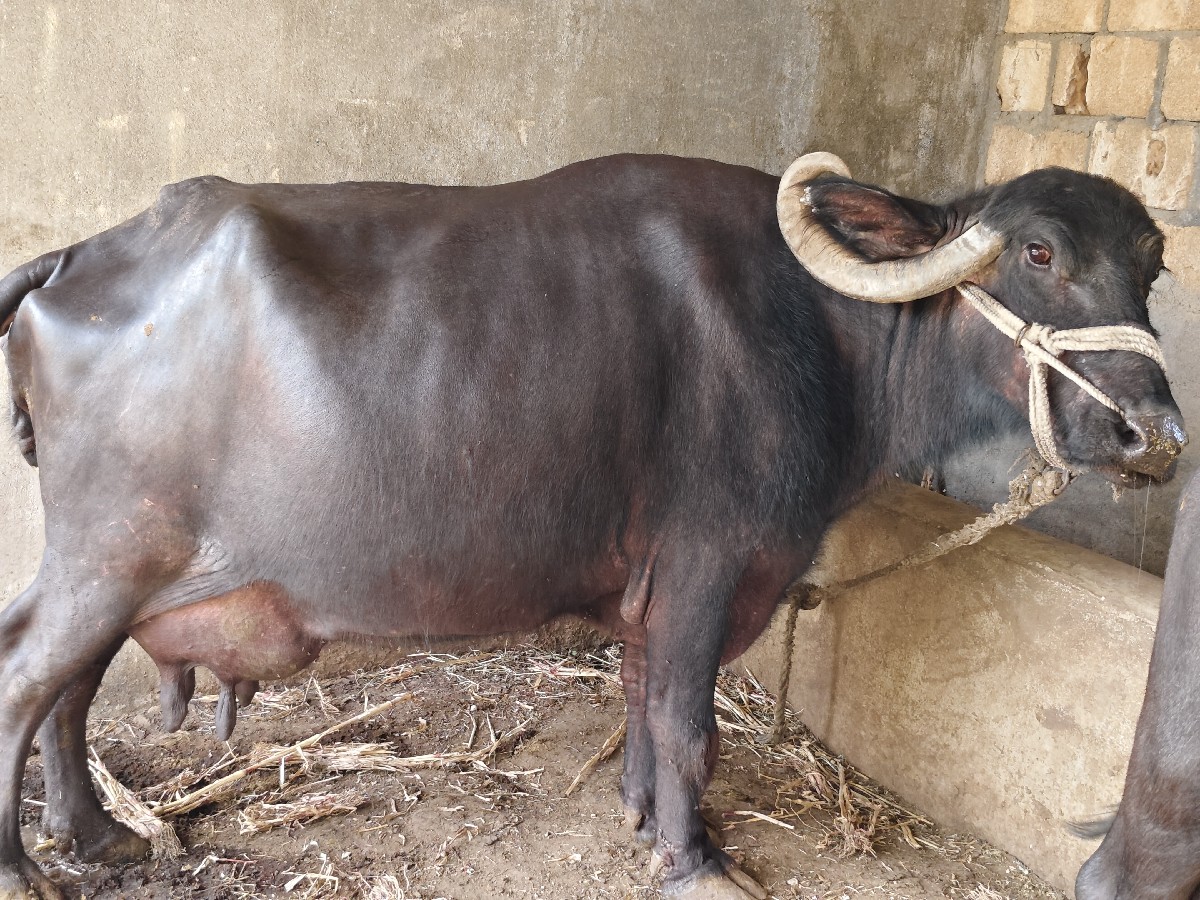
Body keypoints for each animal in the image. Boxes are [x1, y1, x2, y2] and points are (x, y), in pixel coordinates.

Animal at [0, 152, 1187, 899]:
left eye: (1153, 263)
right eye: (1039, 254)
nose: (1155, 434)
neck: (823, 334)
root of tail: (82, 256)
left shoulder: (652, 587)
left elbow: (642, 698)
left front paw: (642, 815)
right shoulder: (711, 563)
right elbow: (691, 723)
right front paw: (697, 859)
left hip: (119, 564)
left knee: (69, 687)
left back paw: (93, 835)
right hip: (110, 555)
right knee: (26, 678)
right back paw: (26, 865)